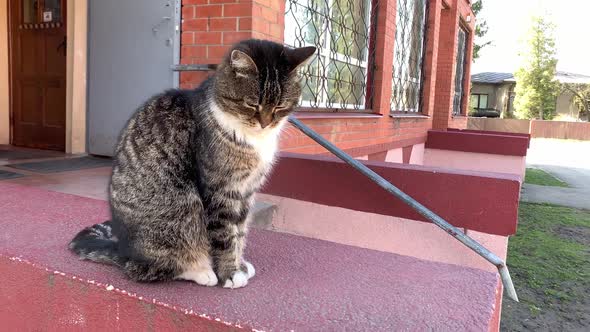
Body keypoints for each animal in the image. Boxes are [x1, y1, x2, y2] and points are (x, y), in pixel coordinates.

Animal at [69, 38, 316, 288]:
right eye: (252, 105)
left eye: (280, 107)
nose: (265, 123)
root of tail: (123, 250)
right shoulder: (220, 191)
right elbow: (226, 235)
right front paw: (230, 273)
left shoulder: (247, 190)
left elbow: (240, 230)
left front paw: (240, 265)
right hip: (181, 210)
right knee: (150, 268)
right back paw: (201, 271)